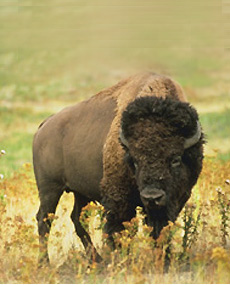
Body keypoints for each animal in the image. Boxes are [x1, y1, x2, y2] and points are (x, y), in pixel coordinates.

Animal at [33, 72, 204, 262]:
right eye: (135, 160)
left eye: (175, 159)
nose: (152, 197)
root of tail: (44, 125)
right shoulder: (119, 199)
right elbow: (119, 230)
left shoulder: (174, 200)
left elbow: (160, 230)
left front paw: (163, 259)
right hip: (50, 189)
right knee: (44, 220)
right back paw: (45, 262)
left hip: (80, 192)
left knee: (76, 218)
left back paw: (96, 260)